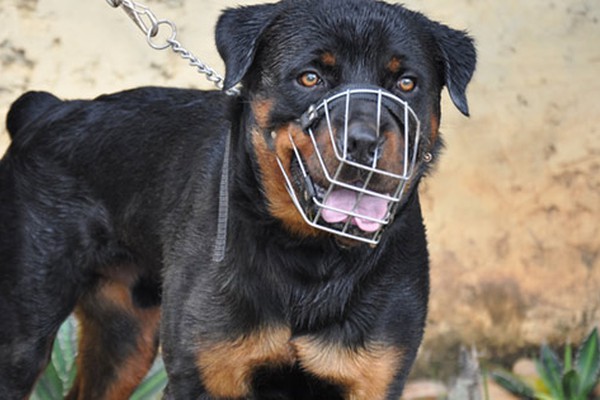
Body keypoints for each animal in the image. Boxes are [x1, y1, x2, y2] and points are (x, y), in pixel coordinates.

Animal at [1, 1, 478, 398]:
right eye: (310, 77)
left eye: (406, 82)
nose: (364, 141)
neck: (310, 260)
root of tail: (48, 110)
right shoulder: (200, 378)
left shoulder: (373, 380)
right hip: (24, 338)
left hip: (126, 337)